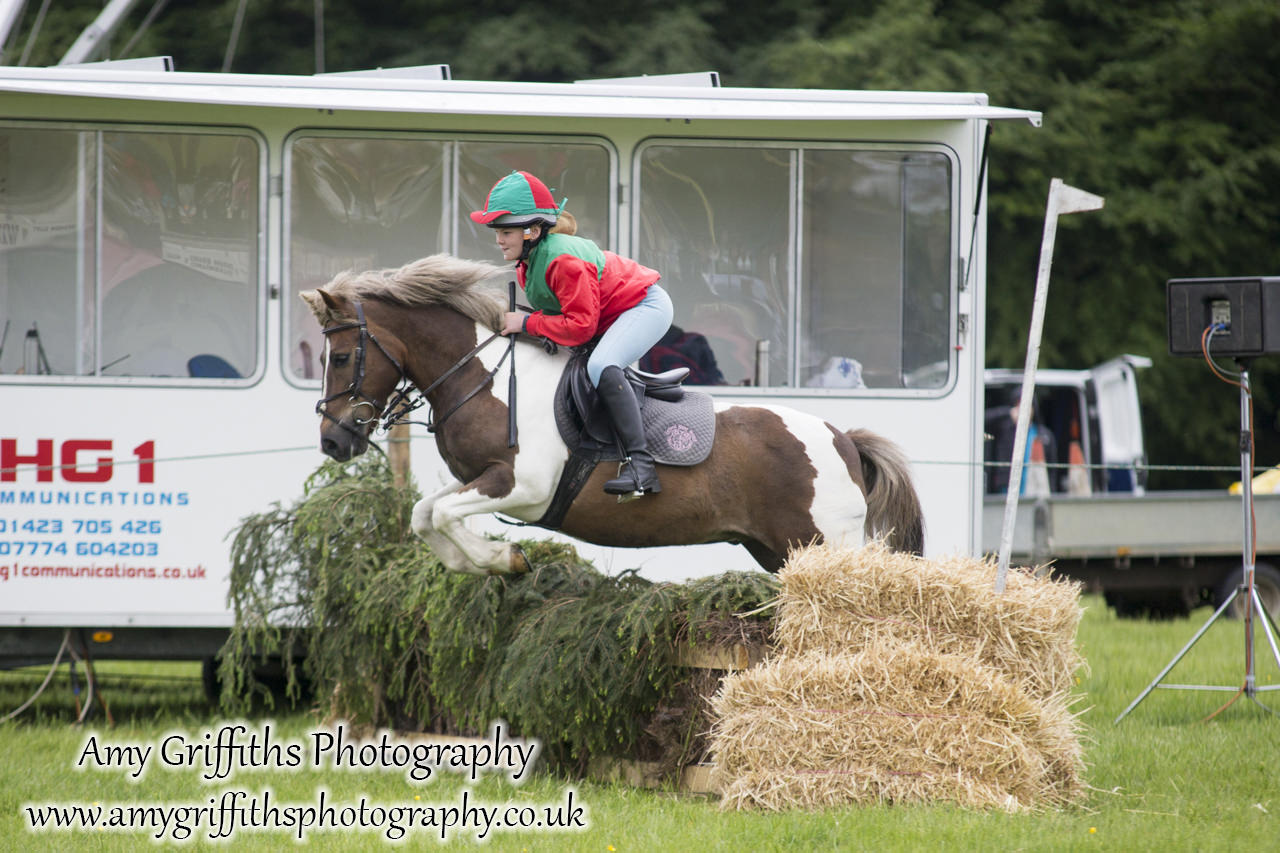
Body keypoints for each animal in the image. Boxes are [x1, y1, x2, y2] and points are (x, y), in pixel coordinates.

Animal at [302, 251, 921, 571]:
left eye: (341, 357)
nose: (333, 443)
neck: (485, 377)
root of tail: (843, 440)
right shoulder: (480, 478)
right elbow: (425, 514)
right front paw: (485, 562)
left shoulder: (523, 486)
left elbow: (446, 515)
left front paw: (505, 560)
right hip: (777, 551)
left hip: (825, 544)